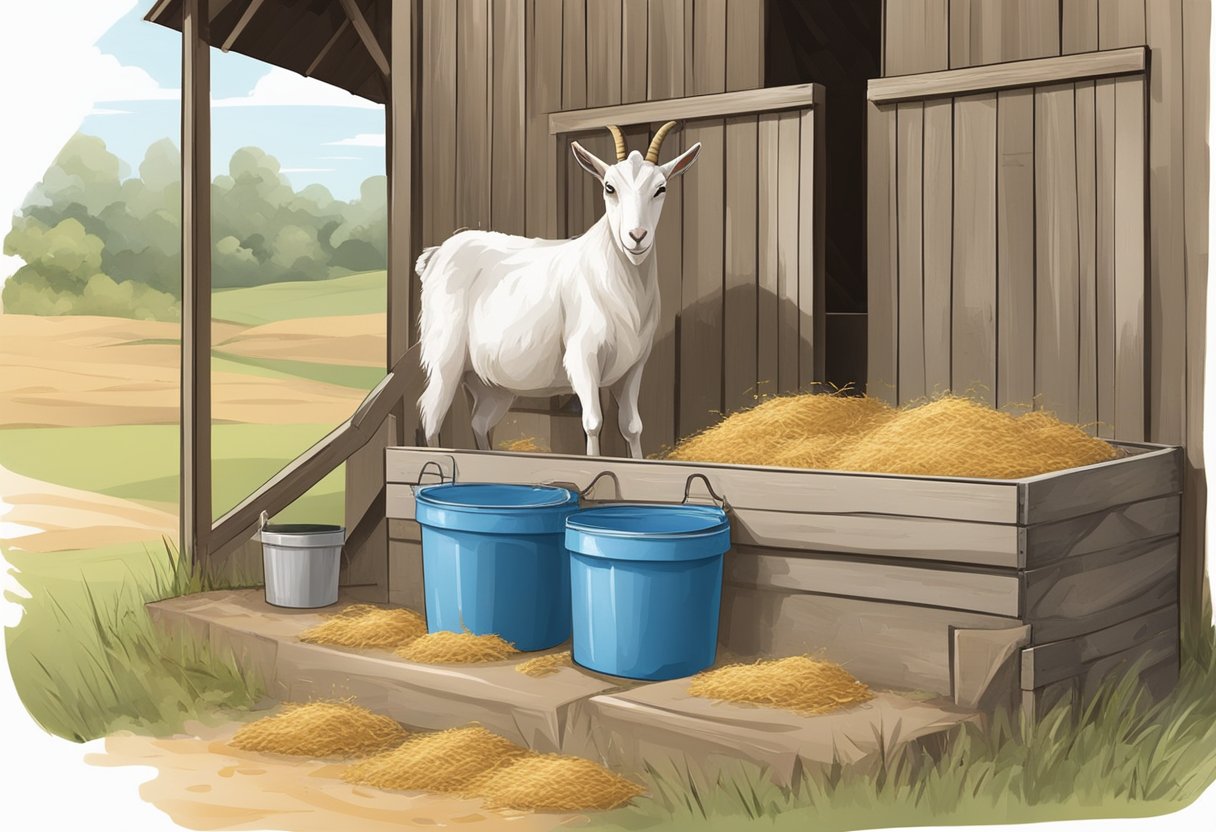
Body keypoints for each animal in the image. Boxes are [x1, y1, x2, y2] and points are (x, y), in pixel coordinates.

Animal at [418, 121, 705, 457]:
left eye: (661, 188)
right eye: (609, 187)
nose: (637, 236)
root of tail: (436, 253)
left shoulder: (633, 366)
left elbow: (632, 426)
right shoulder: (582, 356)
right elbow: (593, 422)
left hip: (491, 384)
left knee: (478, 421)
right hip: (445, 359)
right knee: (431, 417)